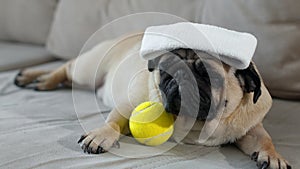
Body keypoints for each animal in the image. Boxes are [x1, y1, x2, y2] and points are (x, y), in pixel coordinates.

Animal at [15, 33, 292, 169]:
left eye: (206, 74)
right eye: (165, 69)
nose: (180, 76)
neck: (197, 125)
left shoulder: (251, 128)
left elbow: (265, 139)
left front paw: (274, 156)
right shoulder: (128, 104)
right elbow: (113, 121)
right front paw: (101, 135)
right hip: (88, 68)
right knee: (66, 67)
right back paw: (36, 78)